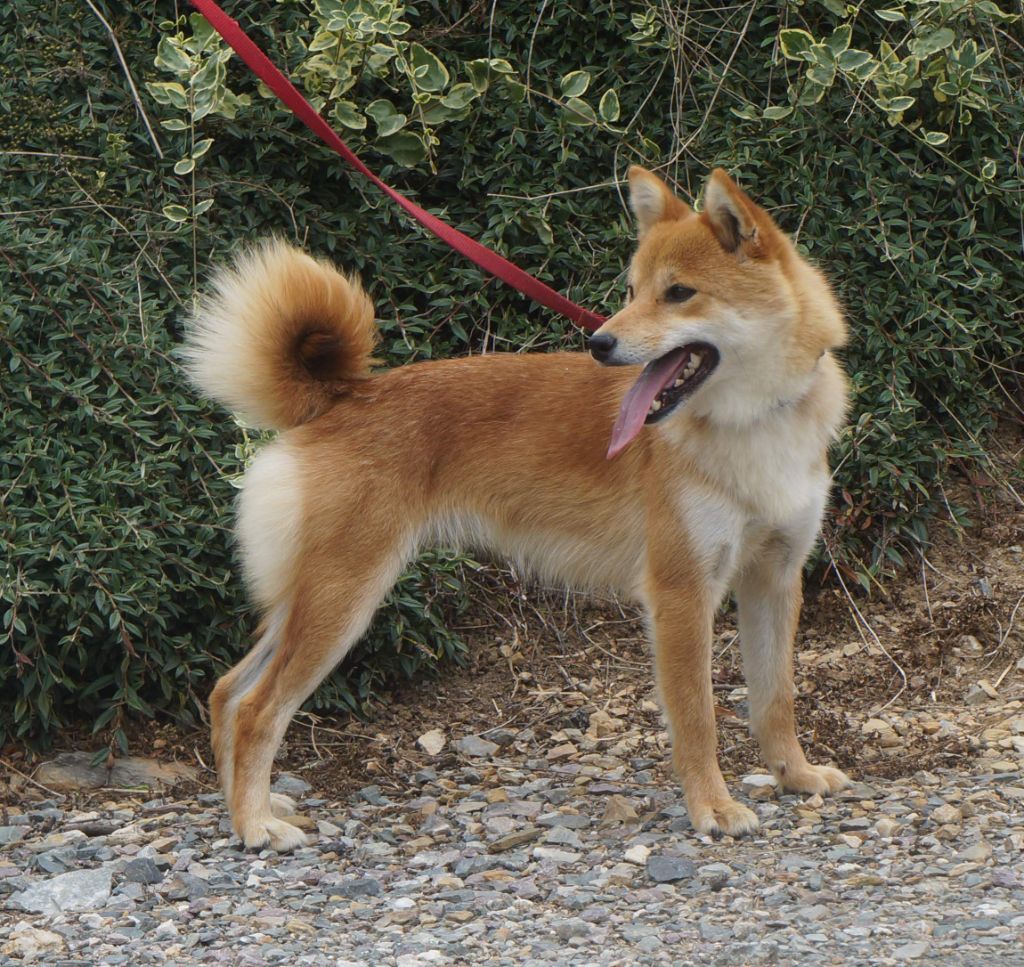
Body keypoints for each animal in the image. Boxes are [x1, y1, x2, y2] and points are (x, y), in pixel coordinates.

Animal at [188, 167, 851, 852]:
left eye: (679, 293)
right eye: (634, 291)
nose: (598, 342)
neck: (754, 426)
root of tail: (342, 398)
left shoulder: (774, 579)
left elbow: (776, 698)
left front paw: (796, 776)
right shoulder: (681, 594)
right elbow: (698, 719)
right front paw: (713, 807)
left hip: (311, 601)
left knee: (227, 693)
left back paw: (246, 810)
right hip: (341, 602)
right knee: (257, 709)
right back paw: (256, 824)